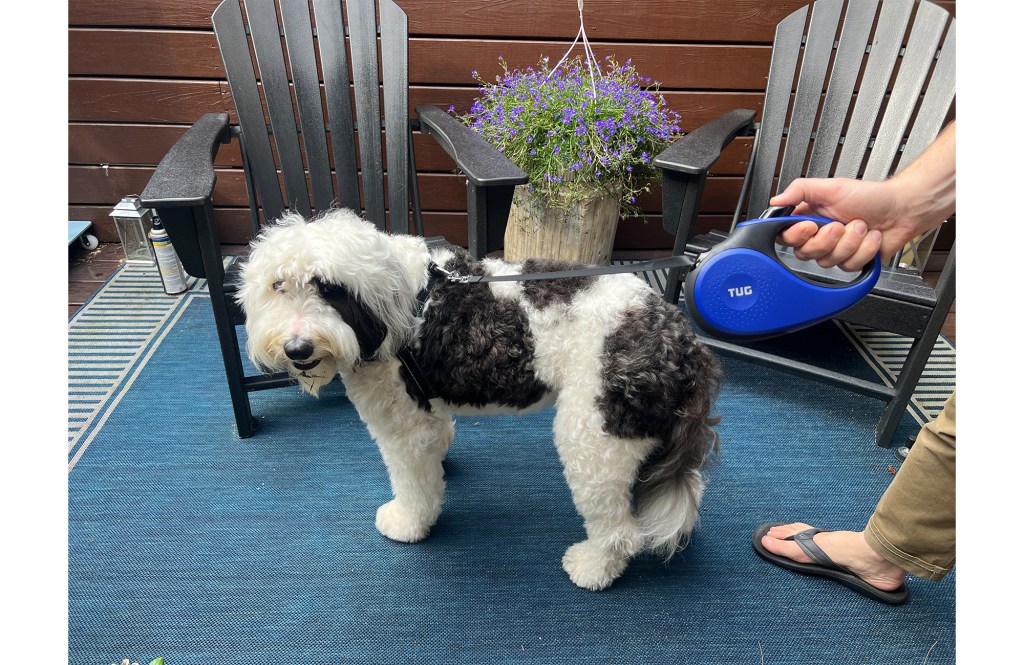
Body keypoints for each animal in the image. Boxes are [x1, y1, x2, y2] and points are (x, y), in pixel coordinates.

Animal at [237, 209, 720, 590]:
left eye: (330, 288)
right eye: (278, 285)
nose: (298, 348)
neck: (396, 301)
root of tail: (682, 338)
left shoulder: (402, 421)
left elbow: (412, 482)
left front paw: (409, 522)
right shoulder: (426, 407)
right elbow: (436, 444)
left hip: (595, 437)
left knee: (620, 528)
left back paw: (593, 567)